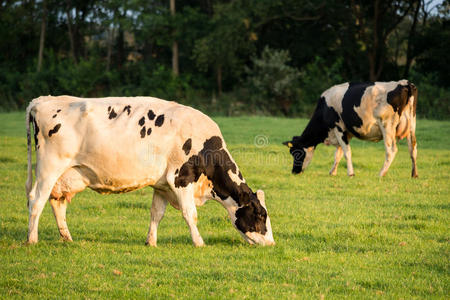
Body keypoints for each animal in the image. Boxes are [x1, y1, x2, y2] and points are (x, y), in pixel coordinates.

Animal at [25, 96, 274, 246]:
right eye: (261, 215)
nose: (271, 243)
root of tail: (43, 100)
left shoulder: (162, 185)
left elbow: (156, 213)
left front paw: (151, 242)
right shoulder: (181, 178)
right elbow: (190, 213)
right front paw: (199, 242)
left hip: (65, 176)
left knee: (57, 203)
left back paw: (67, 238)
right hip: (49, 167)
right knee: (36, 200)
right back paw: (32, 239)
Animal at [284, 81, 418, 177]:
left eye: (295, 153)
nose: (294, 171)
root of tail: (405, 83)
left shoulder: (338, 128)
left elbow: (347, 152)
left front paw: (351, 173)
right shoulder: (346, 133)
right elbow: (338, 154)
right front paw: (332, 172)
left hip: (387, 126)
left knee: (391, 150)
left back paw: (381, 174)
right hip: (412, 126)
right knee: (413, 149)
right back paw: (414, 174)